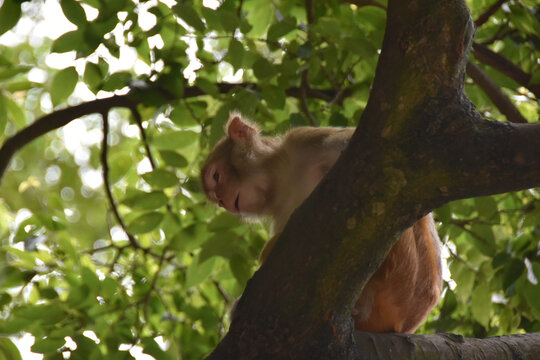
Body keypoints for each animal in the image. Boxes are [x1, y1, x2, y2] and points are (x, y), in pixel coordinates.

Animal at [200, 113, 440, 334]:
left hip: (405, 272)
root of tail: (409, 321)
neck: (282, 178)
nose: (222, 201)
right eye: (215, 198)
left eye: (216, 176)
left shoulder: (305, 139)